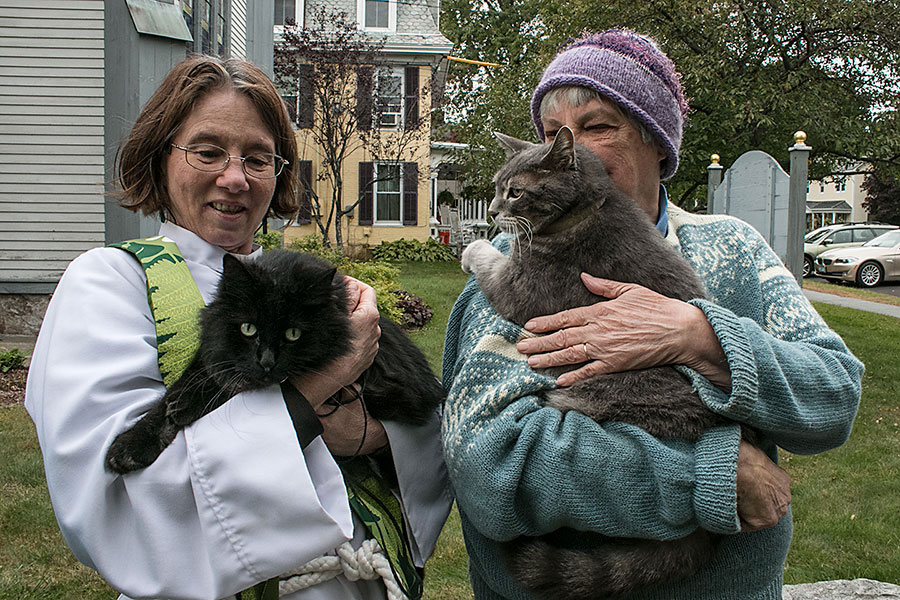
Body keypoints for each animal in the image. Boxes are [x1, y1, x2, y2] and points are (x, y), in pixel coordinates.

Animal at [107, 248, 444, 474]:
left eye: (293, 333)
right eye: (248, 328)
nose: (267, 362)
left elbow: (226, 388)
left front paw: (187, 404)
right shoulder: (213, 352)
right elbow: (167, 399)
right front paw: (129, 446)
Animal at [464, 127, 744, 600]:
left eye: (514, 191)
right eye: (498, 188)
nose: (492, 210)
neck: (582, 214)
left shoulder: (517, 288)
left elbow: (487, 257)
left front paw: (472, 247)